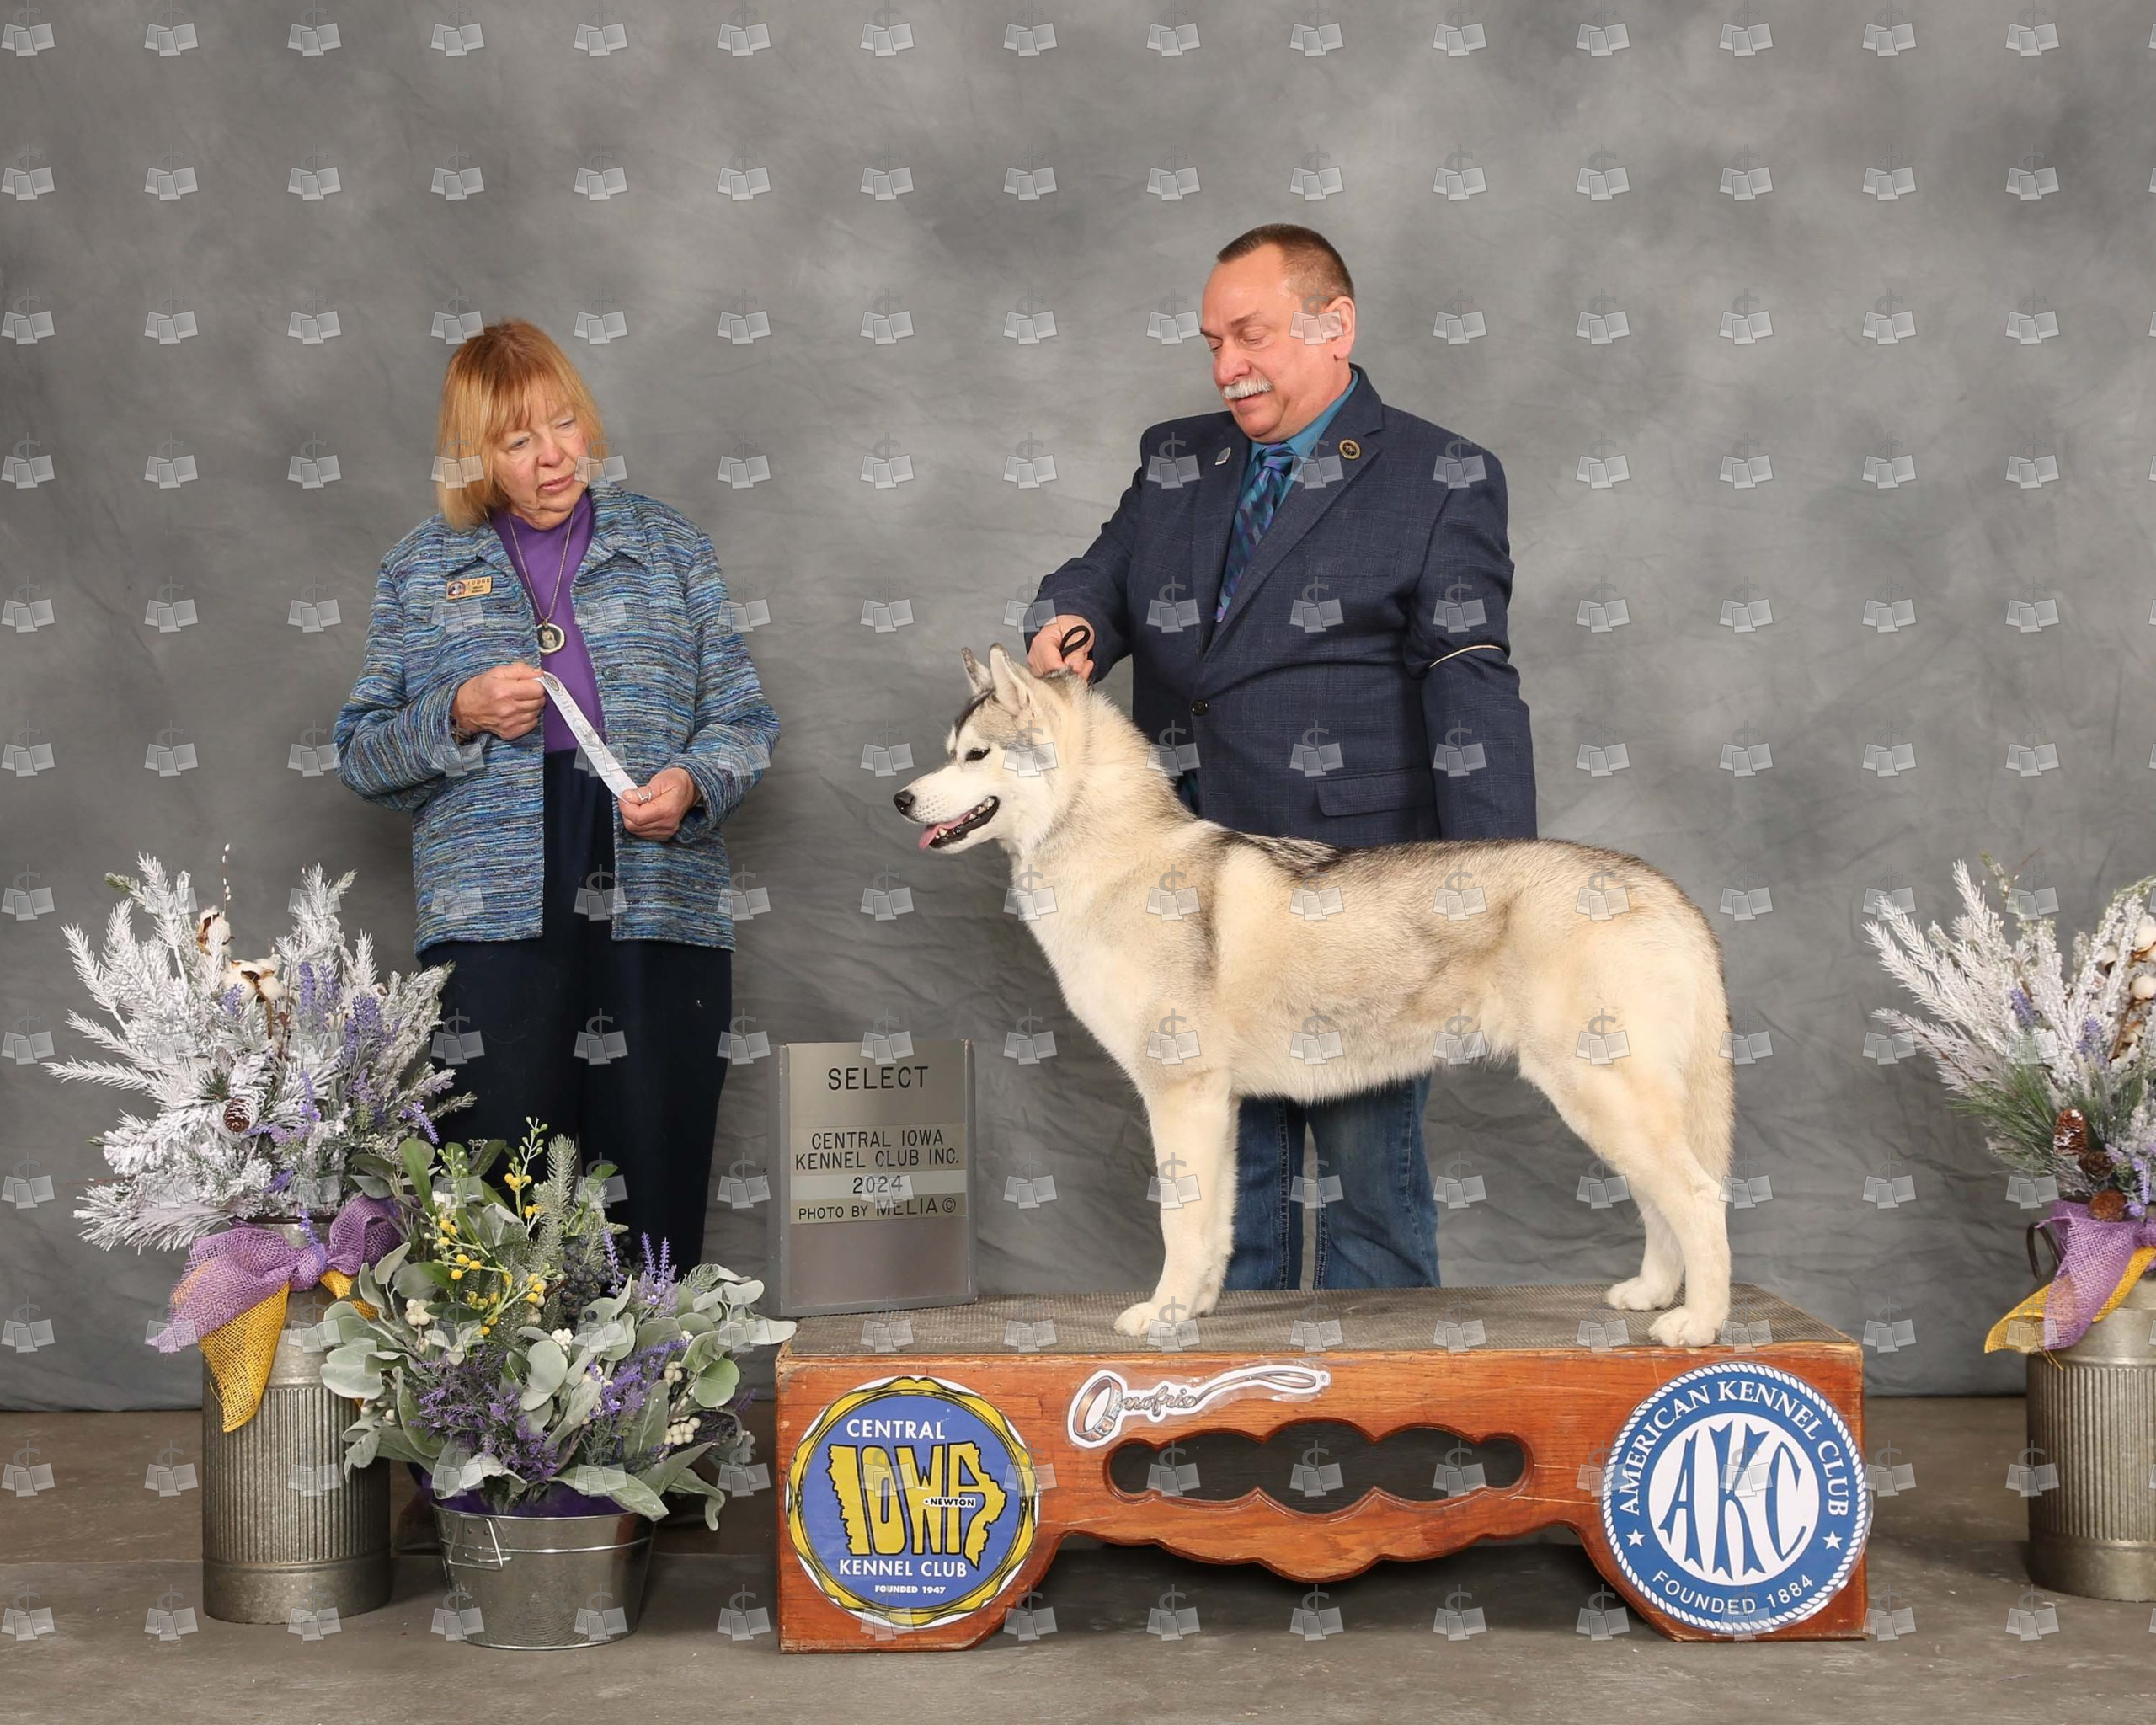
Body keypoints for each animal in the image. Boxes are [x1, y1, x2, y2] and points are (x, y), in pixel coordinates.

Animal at [893, 644, 1736, 1348]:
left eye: (976, 755)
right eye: (947, 754)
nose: (901, 799)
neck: (1118, 860)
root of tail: (1661, 887)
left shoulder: (1178, 1092)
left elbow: (1178, 1221)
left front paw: (1162, 1315)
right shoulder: (1218, 1104)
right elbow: (1216, 1224)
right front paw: (1196, 1308)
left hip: (1599, 1092)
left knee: (1698, 1198)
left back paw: (1698, 1323)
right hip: (1610, 1103)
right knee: (1661, 1201)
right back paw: (1652, 1294)